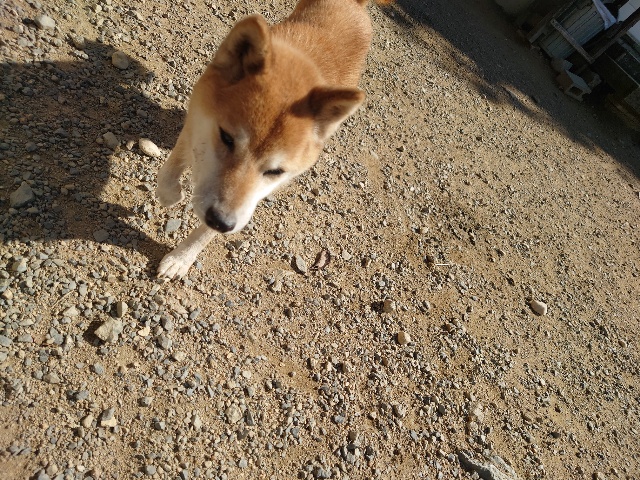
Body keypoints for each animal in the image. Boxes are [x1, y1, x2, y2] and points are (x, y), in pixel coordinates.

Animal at [156, 0, 374, 279]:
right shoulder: (195, 122)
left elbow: (206, 233)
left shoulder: (247, 201)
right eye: (226, 138)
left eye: (275, 171)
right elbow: (170, 169)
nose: (221, 221)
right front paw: (169, 195)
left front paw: (181, 259)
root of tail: (356, 4)